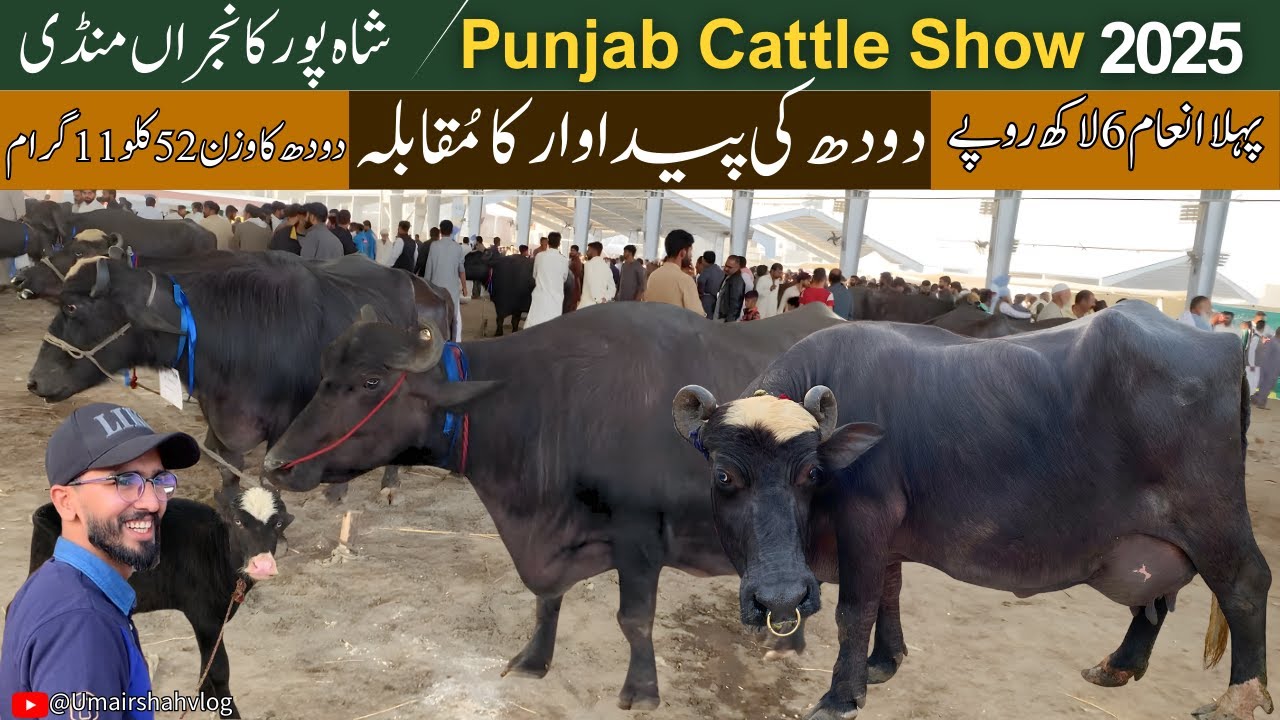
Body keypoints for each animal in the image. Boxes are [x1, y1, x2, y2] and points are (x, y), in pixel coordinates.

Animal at [25, 251, 451, 505]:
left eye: (72, 306)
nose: (35, 382)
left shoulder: (284, 426)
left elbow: (266, 480)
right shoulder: (219, 421)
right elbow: (229, 473)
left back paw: (385, 484)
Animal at [26, 485, 292, 719]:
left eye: (278, 523)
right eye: (238, 522)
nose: (263, 565)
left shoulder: (216, 616)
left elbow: (208, 658)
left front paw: (205, 697)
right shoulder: (204, 616)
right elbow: (219, 669)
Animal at [260, 302, 852, 710]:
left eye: (371, 381)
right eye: (325, 374)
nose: (276, 463)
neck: (552, 404)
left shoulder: (639, 535)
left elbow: (634, 618)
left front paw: (642, 690)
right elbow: (546, 599)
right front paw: (533, 660)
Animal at [670, 301, 1271, 720]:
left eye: (812, 474)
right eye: (724, 476)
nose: (780, 598)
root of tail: (1222, 345)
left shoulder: (865, 521)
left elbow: (855, 609)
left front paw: (842, 695)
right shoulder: (891, 536)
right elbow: (890, 593)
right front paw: (885, 662)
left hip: (1211, 517)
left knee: (1245, 584)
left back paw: (1239, 698)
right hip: (1161, 533)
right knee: (1158, 596)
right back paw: (1117, 666)